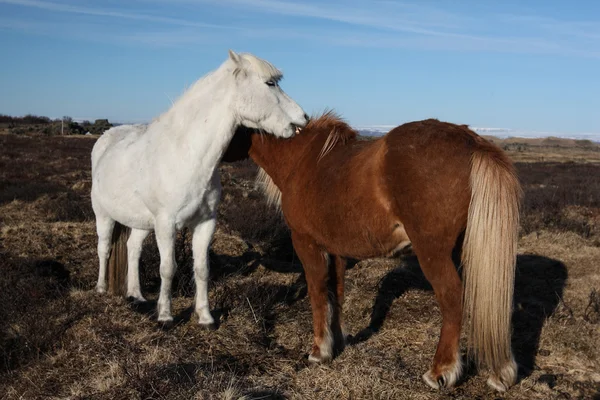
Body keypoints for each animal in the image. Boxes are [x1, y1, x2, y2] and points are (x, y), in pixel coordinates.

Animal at [91, 49, 308, 324]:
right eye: (270, 83)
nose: (303, 118)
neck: (186, 155)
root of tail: (104, 140)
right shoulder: (166, 225)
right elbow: (168, 268)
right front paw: (165, 316)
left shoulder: (205, 223)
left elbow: (202, 268)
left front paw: (205, 317)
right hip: (104, 215)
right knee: (104, 248)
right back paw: (101, 289)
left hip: (141, 222)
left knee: (133, 249)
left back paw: (136, 295)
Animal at [225, 111, 520, 392]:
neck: (300, 159)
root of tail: (472, 142)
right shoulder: (336, 250)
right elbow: (336, 292)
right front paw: (338, 341)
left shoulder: (306, 243)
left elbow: (317, 292)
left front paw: (319, 351)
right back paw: (501, 373)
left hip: (433, 254)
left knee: (452, 297)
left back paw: (441, 371)